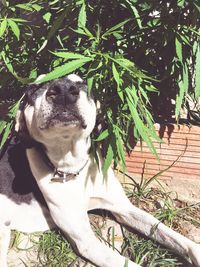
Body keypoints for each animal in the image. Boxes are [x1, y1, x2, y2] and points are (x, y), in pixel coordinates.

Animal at [0, 74, 199, 267]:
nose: (63, 90)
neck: (72, 167)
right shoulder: (87, 242)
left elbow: (175, 237)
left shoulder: (124, 208)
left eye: (81, 84)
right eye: (33, 90)